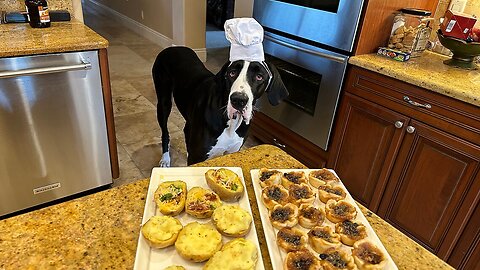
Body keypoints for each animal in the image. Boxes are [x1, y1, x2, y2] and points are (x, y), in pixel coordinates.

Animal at [152, 45, 286, 166]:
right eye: (232, 73)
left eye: (259, 76)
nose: (239, 100)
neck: (230, 123)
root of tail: (172, 47)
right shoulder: (197, 156)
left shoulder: (234, 152)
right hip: (164, 102)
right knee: (165, 132)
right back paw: (165, 159)